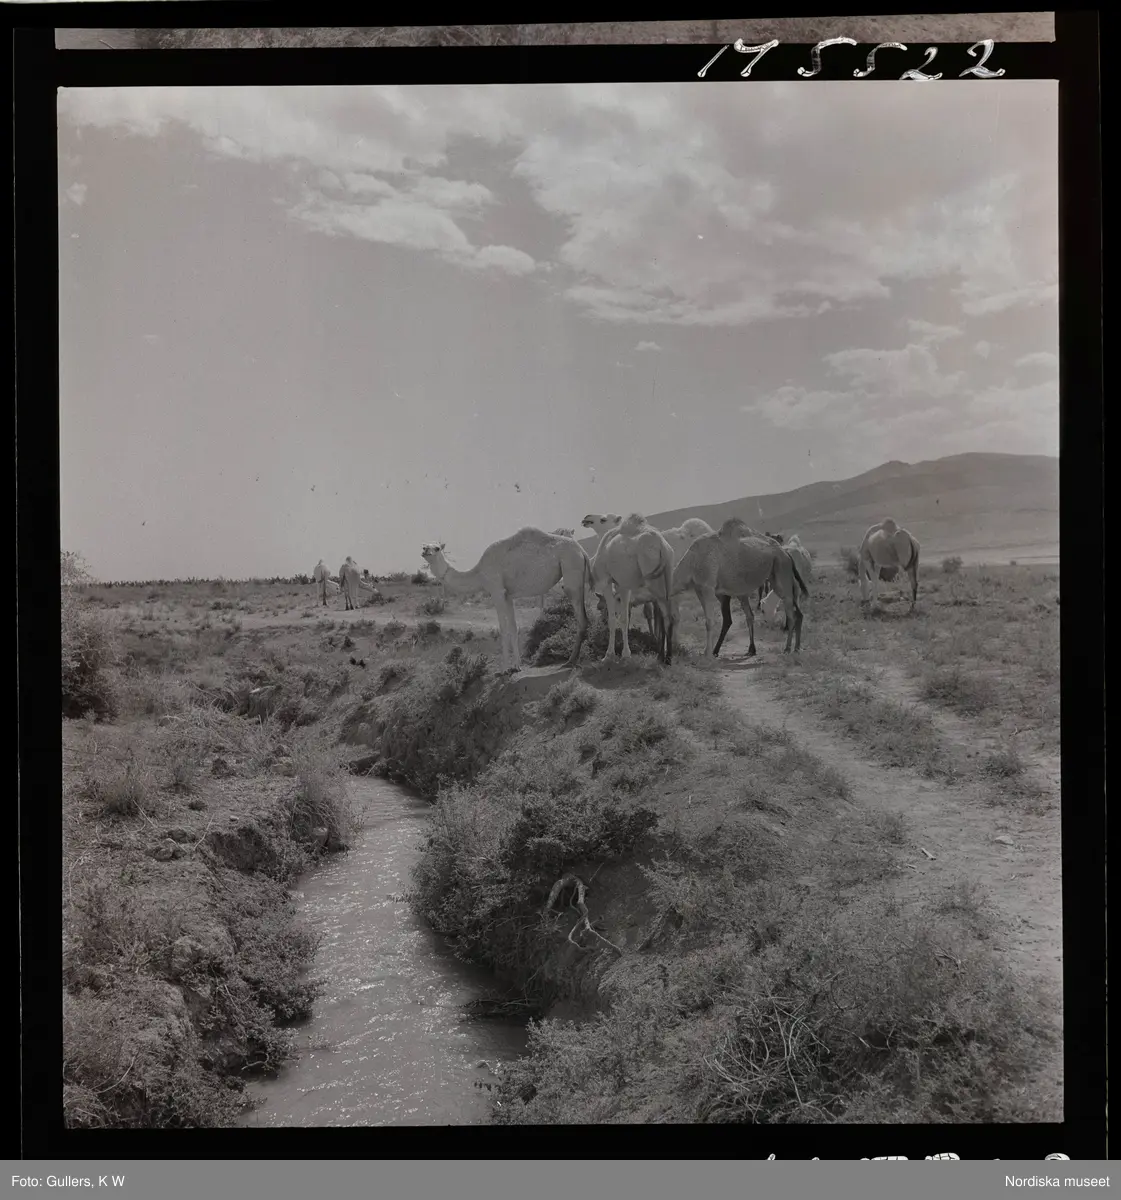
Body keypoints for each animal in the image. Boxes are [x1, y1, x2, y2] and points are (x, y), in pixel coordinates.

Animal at [421, 528, 590, 671]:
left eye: (437, 548)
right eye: (424, 546)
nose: (425, 550)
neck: (479, 573)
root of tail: (582, 551)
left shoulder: (496, 591)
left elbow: (503, 629)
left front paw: (504, 669)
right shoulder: (507, 596)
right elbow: (513, 628)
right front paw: (517, 666)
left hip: (571, 568)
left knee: (582, 617)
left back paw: (570, 661)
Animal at [589, 514, 676, 665]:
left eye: (602, 519)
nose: (585, 519)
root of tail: (663, 547)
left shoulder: (606, 581)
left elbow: (613, 619)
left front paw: (609, 655)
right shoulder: (623, 585)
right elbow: (624, 618)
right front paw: (625, 654)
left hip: (654, 579)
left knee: (665, 616)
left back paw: (663, 657)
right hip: (668, 575)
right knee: (669, 617)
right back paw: (666, 658)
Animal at [672, 517, 808, 657]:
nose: (675, 649)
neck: (692, 562)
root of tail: (786, 553)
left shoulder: (707, 587)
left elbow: (710, 621)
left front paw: (707, 653)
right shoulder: (702, 589)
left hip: (781, 570)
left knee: (791, 614)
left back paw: (787, 648)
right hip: (777, 577)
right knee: (797, 613)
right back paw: (796, 647)